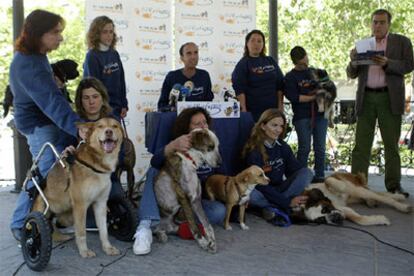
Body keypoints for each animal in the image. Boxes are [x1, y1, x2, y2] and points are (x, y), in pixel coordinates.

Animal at [32, 117, 123, 258]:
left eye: (115, 126)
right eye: (100, 126)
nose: (108, 132)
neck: (97, 166)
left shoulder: (101, 203)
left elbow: (104, 230)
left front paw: (107, 248)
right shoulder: (81, 206)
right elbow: (81, 233)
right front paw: (84, 251)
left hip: (67, 217)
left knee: (53, 225)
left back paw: (58, 236)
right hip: (42, 208)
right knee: (40, 226)